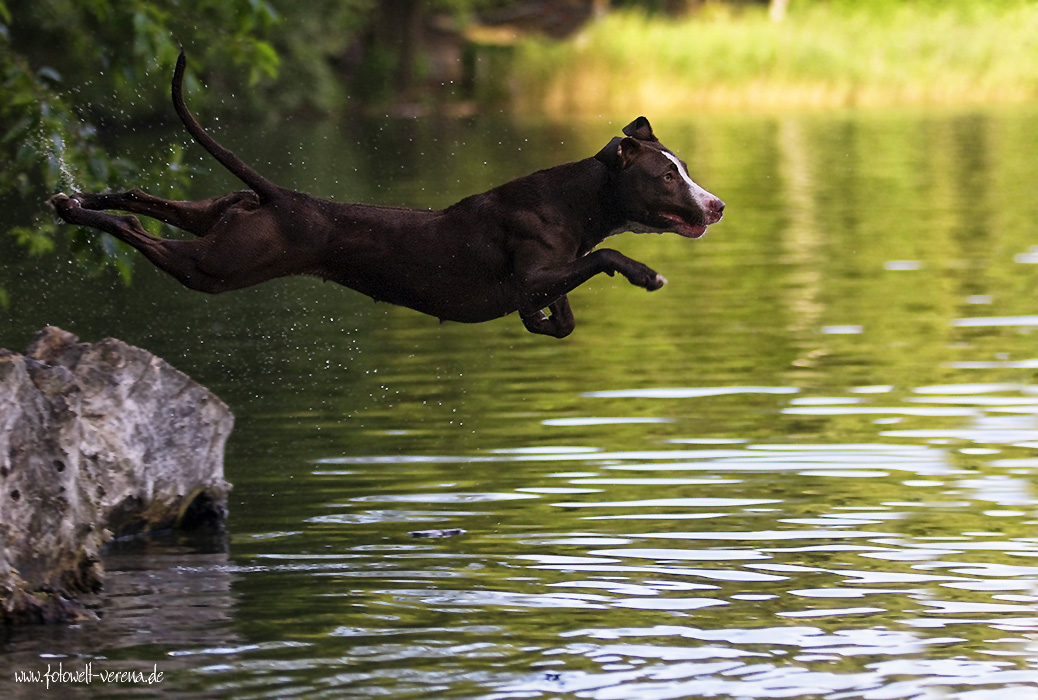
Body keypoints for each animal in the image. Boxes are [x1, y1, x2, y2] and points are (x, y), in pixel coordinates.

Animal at [46, 51, 722, 334]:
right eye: (667, 177)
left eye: (683, 168)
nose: (715, 206)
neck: (576, 198)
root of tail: (280, 197)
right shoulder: (532, 273)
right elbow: (603, 255)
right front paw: (644, 274)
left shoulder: (541, 282)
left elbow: (563, 314)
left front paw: (547, 321)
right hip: (216, 267)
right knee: (140, 234)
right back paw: (87, 214)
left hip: (220, 222)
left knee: (142, 198)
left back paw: (79, 200)